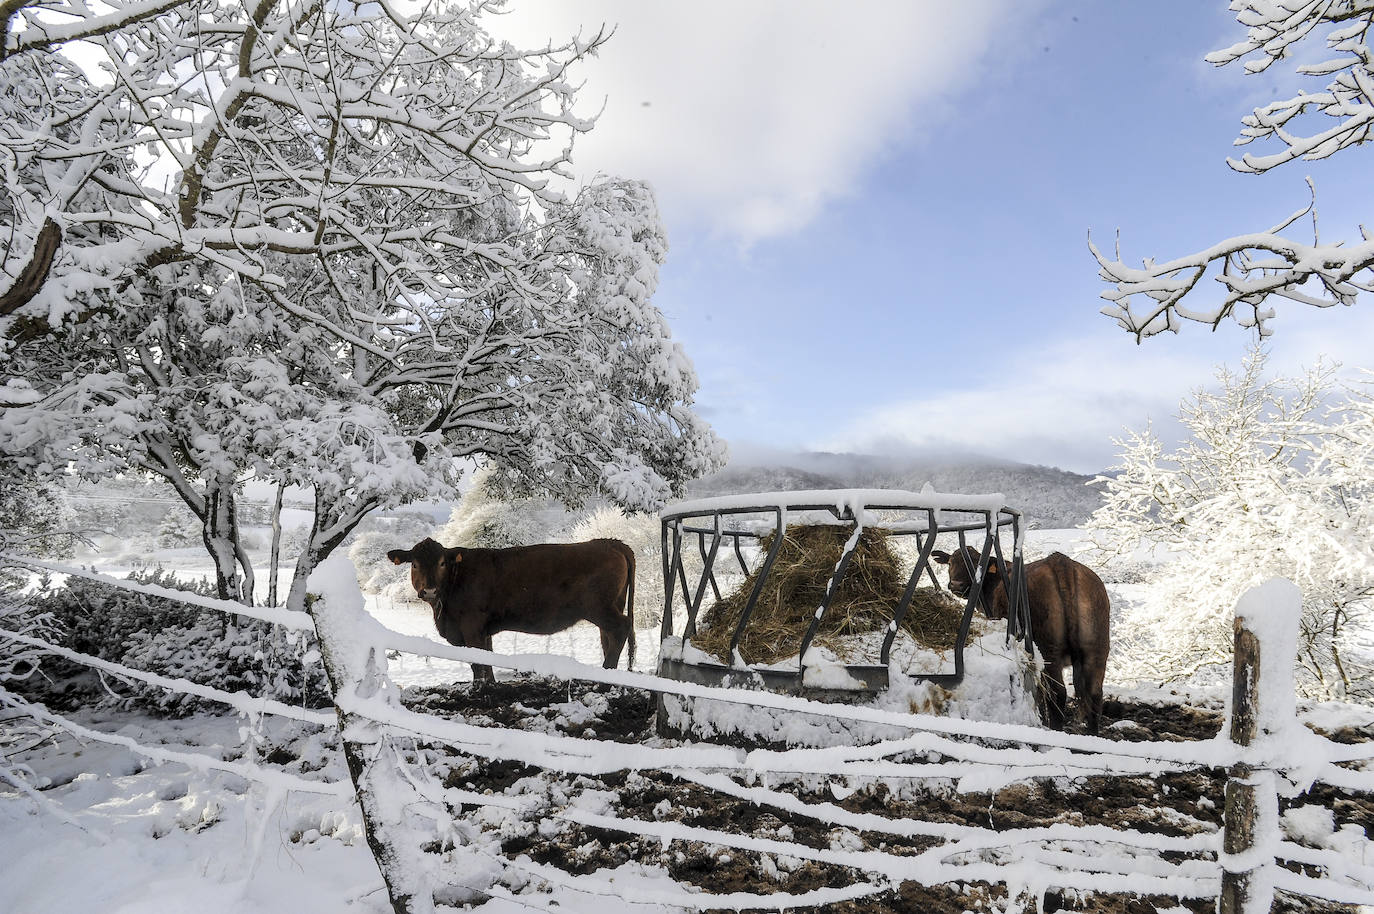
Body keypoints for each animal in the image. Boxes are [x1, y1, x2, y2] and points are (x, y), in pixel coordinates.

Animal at [390, 538, 634, 681]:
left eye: (442, 563)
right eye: (414, 564)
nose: (430, 590)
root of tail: (609, 542)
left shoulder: (471, 627)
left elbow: (477, 662)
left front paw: (480, 689)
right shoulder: (483, 630)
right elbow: (486, 658)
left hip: (599, 608)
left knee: (621, 629)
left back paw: (605, 677)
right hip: (611, 606)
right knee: (608, 637)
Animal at [928, 544, 1110, 731]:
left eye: (976, 563)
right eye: (950, 562)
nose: (956, 584)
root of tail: (1060, 562)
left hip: (1049, 651)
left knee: (1058, 693)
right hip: (1097, 650)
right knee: (1095, 695)